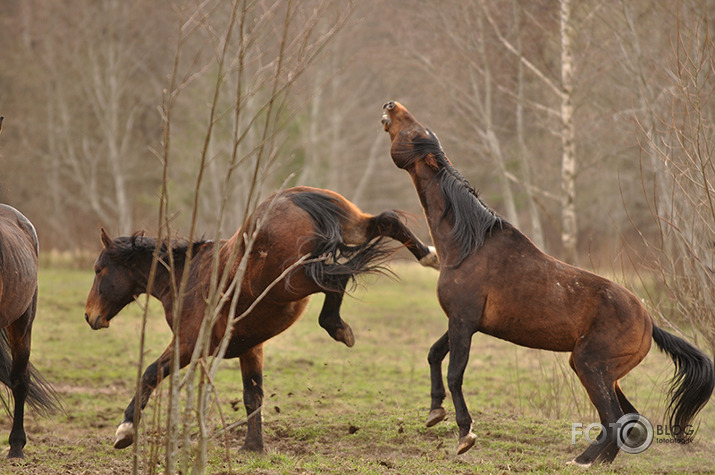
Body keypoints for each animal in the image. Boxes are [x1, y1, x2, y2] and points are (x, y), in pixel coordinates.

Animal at [86, 186, 440, 454]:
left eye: (99, 270)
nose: (90, 316)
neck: (186, 278)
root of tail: (293, 197)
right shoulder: (250, 348)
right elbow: (252, 395)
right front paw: (253, 446)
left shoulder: (188, 345)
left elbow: (149, 374)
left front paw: (125, 430)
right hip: (352, 227)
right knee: (386, 221)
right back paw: (428, 255)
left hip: (293, 280)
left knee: (334, 277)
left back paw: (338, 326)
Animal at [384, 102, 712, 466]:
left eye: (415, 132)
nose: (391, 106)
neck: (468, 246)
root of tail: (650, 323)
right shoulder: (463, 322)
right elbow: (433, 355)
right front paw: (434, 411)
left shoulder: (463, 322)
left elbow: (455, 374)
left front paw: (465, 434)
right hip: (605, 373)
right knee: (628, 419)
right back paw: (600, 461)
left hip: (589, 366)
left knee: (614, 418)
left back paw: (582, 460)